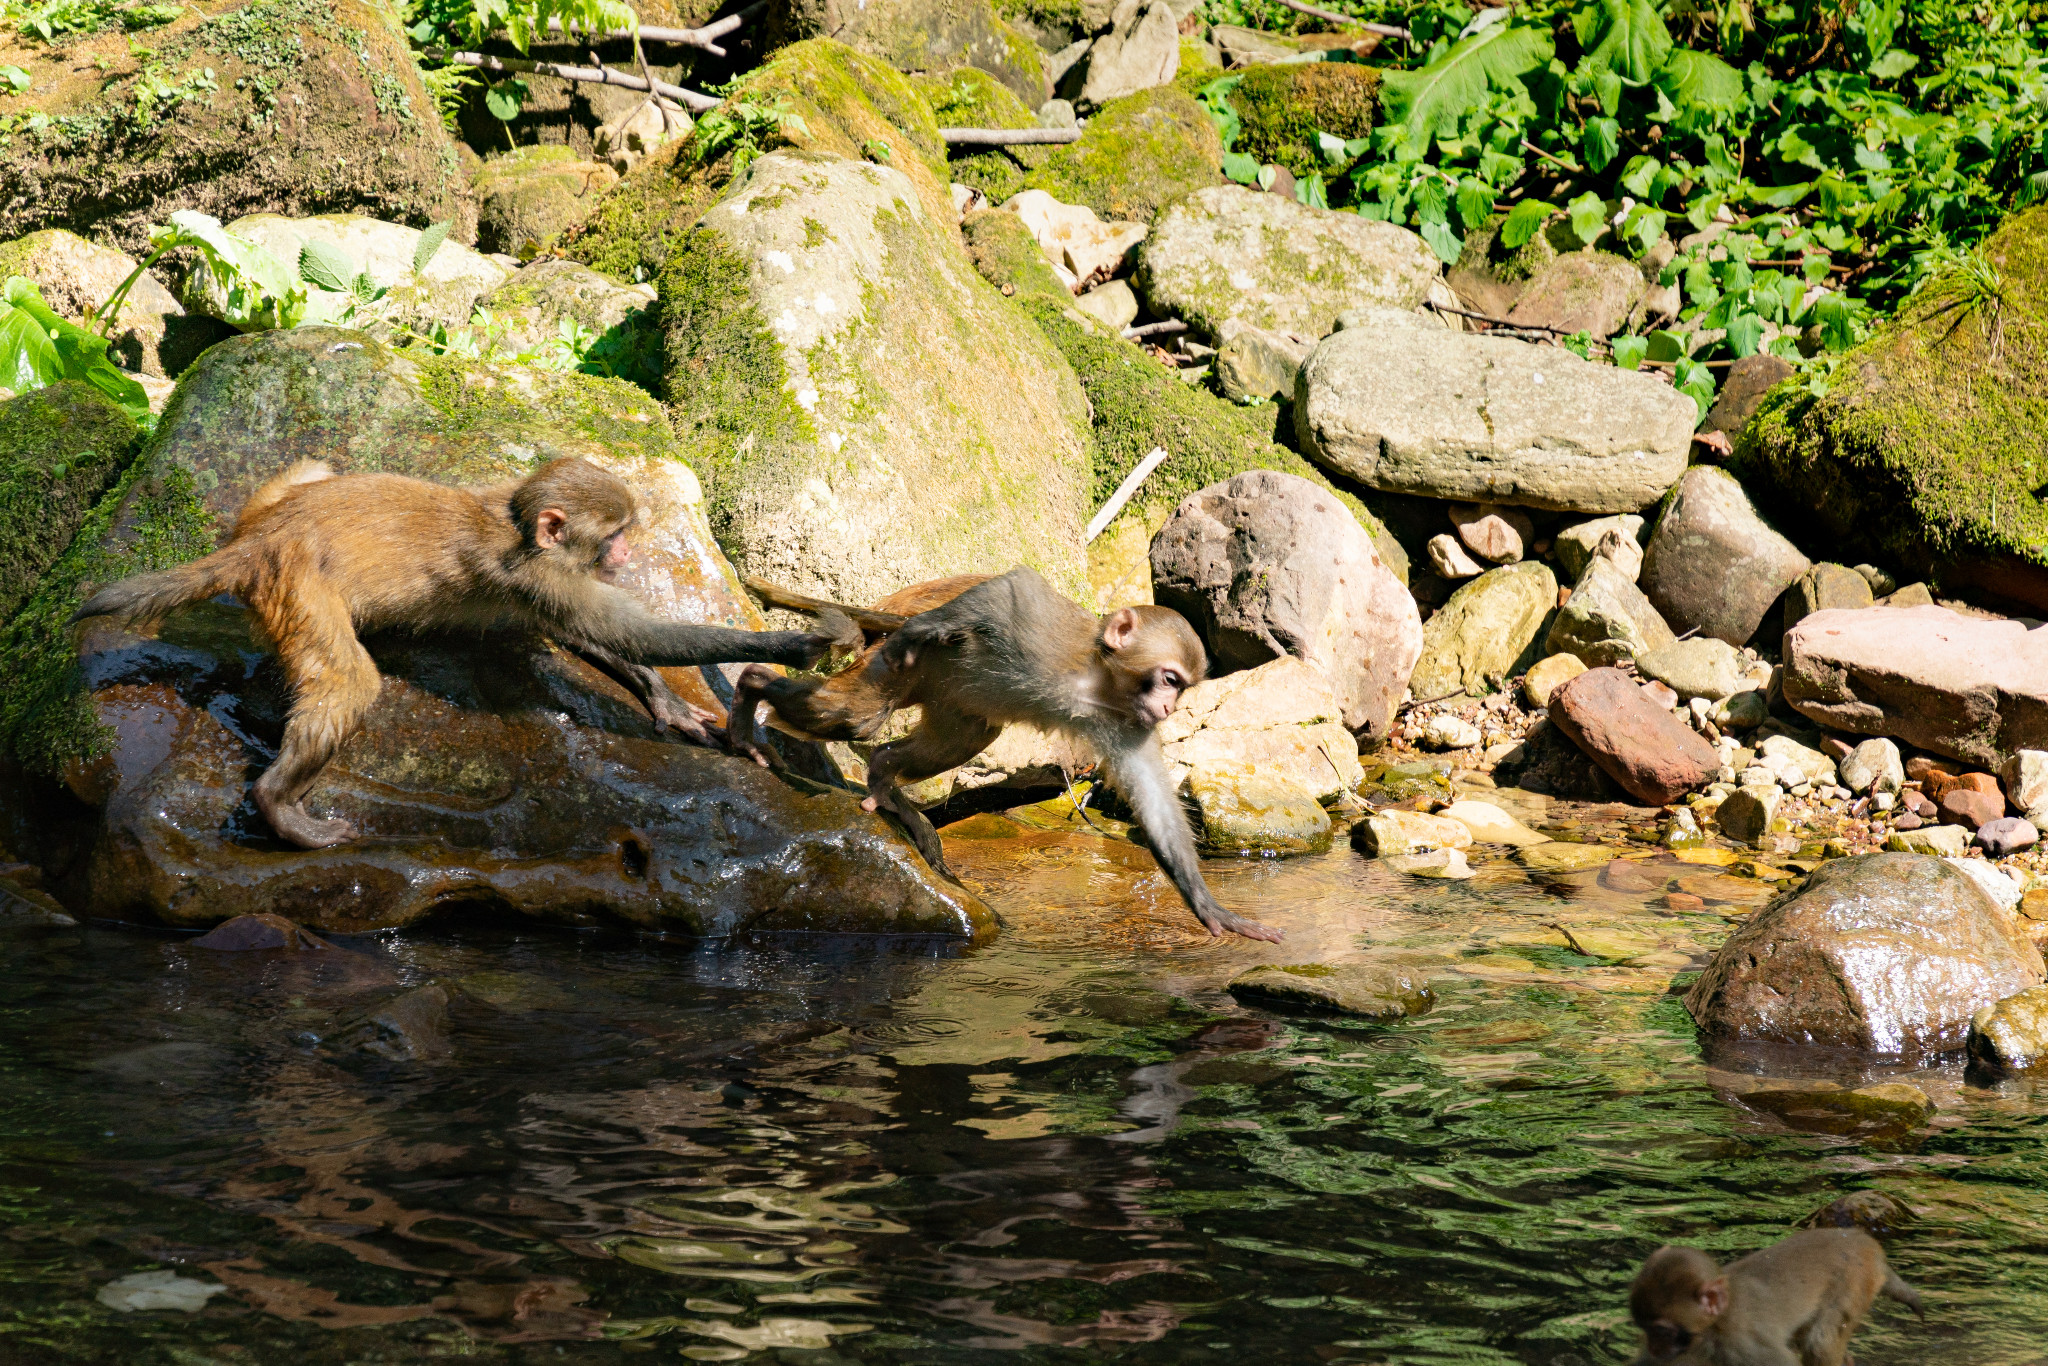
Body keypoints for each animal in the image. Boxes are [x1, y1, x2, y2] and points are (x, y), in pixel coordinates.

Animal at [79, 454, 856, 847]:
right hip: (298, 590)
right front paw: (795, 641)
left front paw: (664, 698)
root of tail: (261, 540)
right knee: (349, 682)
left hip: (270, 504)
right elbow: (624, 629)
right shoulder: (541, 576)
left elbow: (594, 632)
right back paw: (277, 803)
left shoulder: (543, 586)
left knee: (316, 464)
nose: (629, 554)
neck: (515, 525)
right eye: (613, 536)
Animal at [733, 565, 1277, 942]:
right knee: (855, 714)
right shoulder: (1046, 633)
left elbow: (1151, 799)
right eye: (1169, 679)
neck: (1094, 685)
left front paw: (1208, 906)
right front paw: (926, 627)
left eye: (1181, 688)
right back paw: (752, 688)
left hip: (948, 702)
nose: (1167, 708)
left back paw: (884, 777)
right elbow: (1009, 590)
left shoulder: (1127, 723)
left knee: (958, 737)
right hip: (892, 665)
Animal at [1630, 1228, 1916, 1366]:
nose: (1654, 1347)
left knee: (1821, 1341)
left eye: (1662, 1331)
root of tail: (1866, 1240)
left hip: (1857, 1278)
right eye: (1645, 1329)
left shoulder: (1742, 1343)